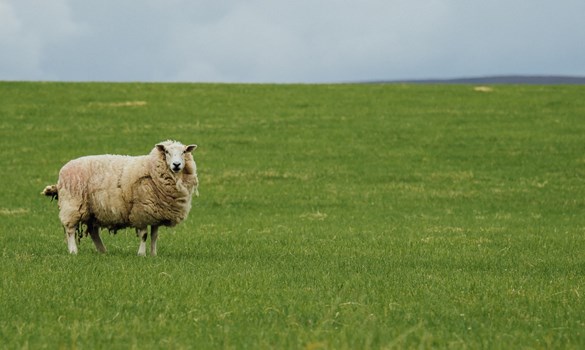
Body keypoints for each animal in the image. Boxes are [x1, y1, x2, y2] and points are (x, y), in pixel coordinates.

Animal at [41, 140, 198, 258]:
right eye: (166, 152)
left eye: (184, 152)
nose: (176, 165)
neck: (151, 169)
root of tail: (62, 173)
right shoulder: (141, 211)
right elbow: (144, 235)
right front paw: (141, 254)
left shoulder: (156, 213)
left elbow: (154, 236)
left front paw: (153, 254)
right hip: (72, 204)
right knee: (70, 229)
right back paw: (73, 251)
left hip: (93, 210)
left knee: (93, 232)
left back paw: (103, 251)